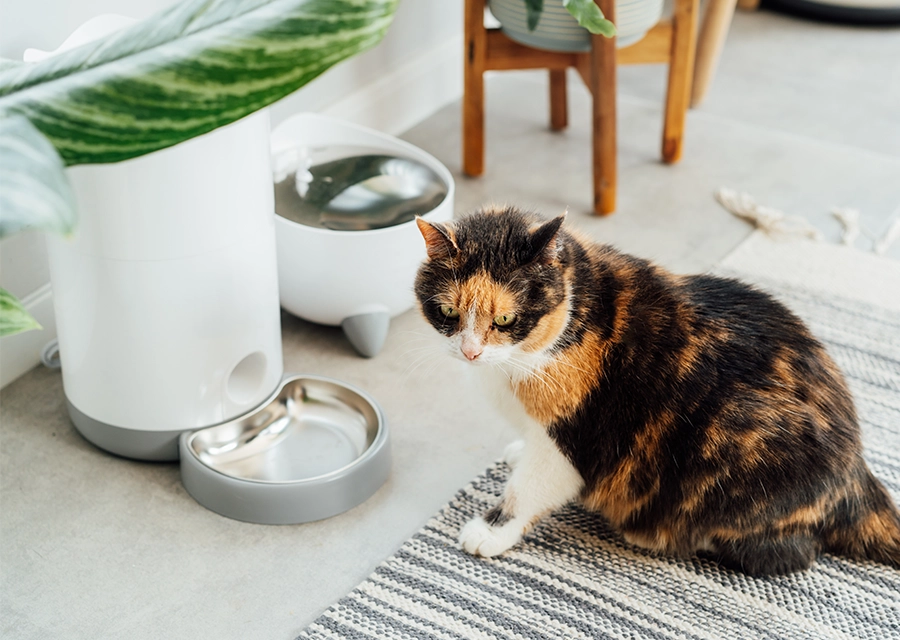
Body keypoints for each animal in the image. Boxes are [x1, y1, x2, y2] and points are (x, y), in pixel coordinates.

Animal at [414, 205, 900, 576]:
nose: (471, 351)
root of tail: (859, 474)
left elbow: (527, 489)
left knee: (790, 555)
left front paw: (490, 531)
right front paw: (515, 452)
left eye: (505, 319)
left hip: (744, 436)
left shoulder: (572, 442)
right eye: (448, 312)